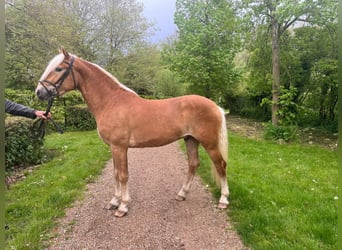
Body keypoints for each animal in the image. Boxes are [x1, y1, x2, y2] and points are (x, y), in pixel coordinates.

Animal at [35, 47, 230, 217]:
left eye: (58, 68)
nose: (39, 92)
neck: (111, 101)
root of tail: (215, 106)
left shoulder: (120, 147)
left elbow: (123, 175)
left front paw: (123, 206)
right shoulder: (113, 147)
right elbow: (115, 173)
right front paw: (113, 202)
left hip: (209, 143)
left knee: (220, 165)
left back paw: (223, 200)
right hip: (190, 139)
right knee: (193, 164)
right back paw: (182, 194)